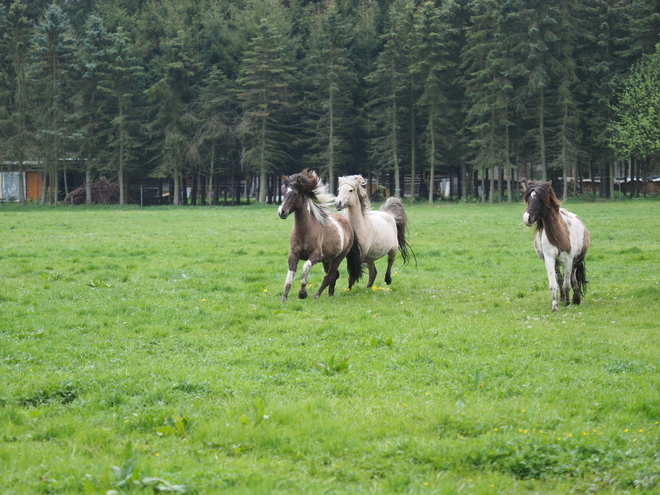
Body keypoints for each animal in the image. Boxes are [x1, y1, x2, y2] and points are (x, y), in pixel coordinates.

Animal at [278, 170, 364, 302]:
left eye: (295, 193)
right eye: (283, 192)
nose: (281, 212)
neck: (304, 232)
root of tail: (348, 225)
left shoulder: (316, 255)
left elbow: (305, 267)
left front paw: (302, 293)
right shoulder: (293, 255)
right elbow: (289, 276)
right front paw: (284, 298)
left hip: (338, 257)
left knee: (330, 275)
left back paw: (317, 295)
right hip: (328, 260)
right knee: (334, 275)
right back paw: (330, 294)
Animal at [524, 182, 592, 312]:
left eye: (540, 199)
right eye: (528, 199)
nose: (526, 218)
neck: (559, 235)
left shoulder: (568, 260)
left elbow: (567, 284)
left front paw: (569, 303)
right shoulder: (549, 259)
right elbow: (553, 284)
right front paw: (555, 306)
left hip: (575, 262)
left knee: (572, 277)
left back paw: (575, 298)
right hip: (557, 263)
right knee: (560, 279)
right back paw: (563, 298)